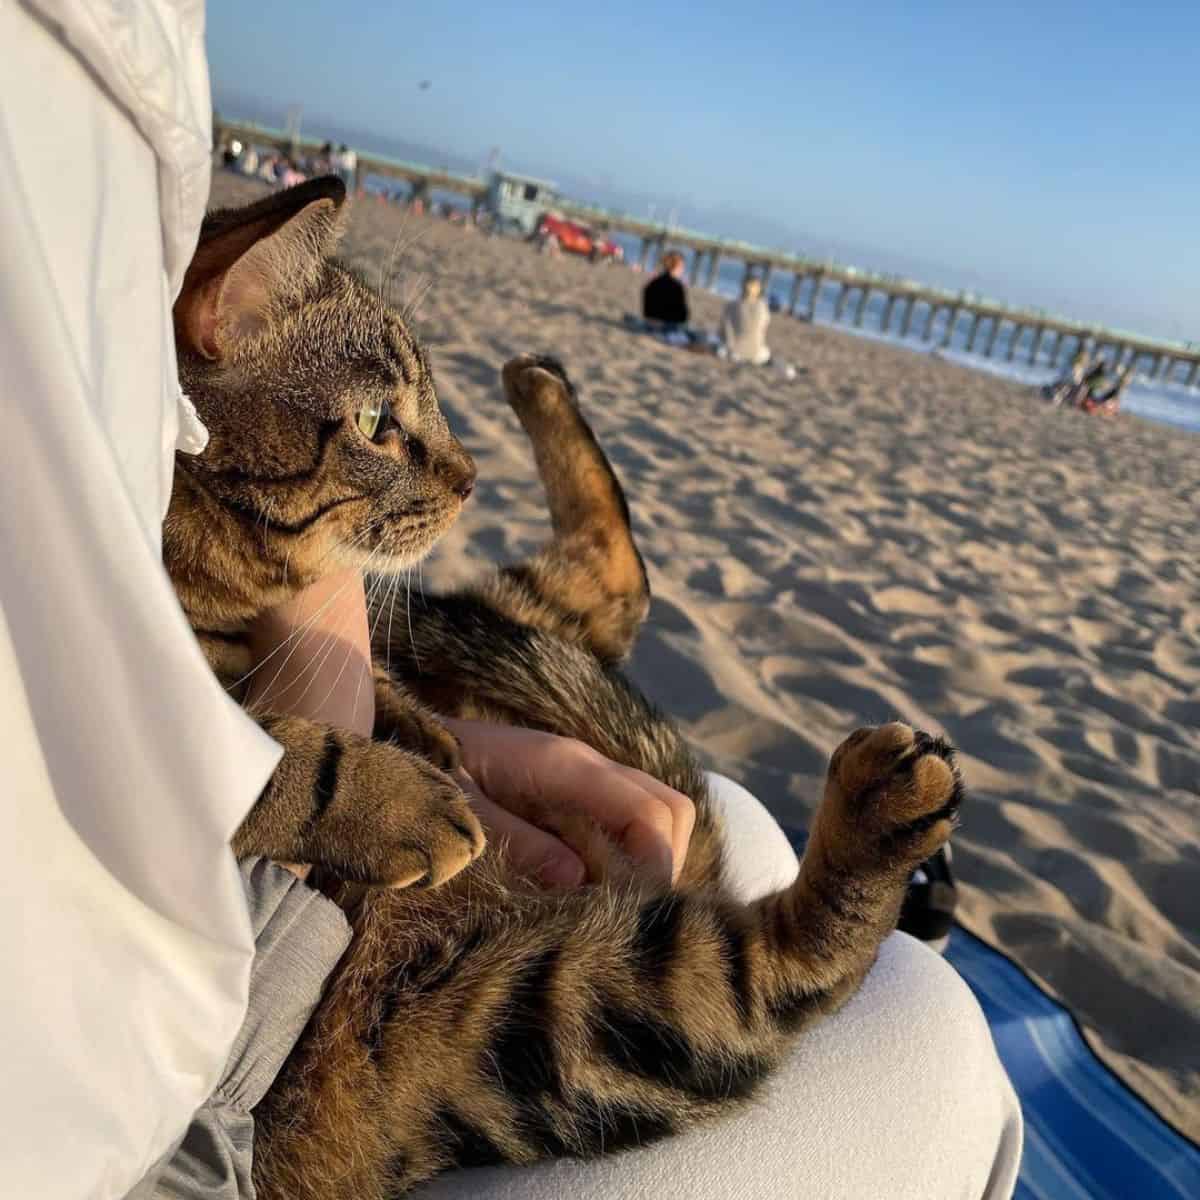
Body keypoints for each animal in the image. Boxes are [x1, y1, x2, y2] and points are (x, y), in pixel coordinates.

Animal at [166, 180, 964, 1200]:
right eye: (380, 422)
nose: (470, 478)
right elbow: (275, 758)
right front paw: (394, 797)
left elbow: (372, 702)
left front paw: (418, 735)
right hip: (547, 1017)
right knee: (773, 973)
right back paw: (886, 809)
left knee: (617, 584)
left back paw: (539, 382)